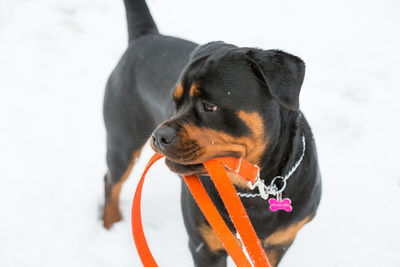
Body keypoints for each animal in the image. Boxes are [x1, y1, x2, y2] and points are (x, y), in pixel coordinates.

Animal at [102, 1, 322, 266]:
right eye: (175, 101)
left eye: (209, 106)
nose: (159, 135)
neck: (252, 190)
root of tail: (146, 36)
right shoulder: (205, 245)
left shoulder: (277, 244)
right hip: (121, 140)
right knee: (111, 181)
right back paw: (110, 223)